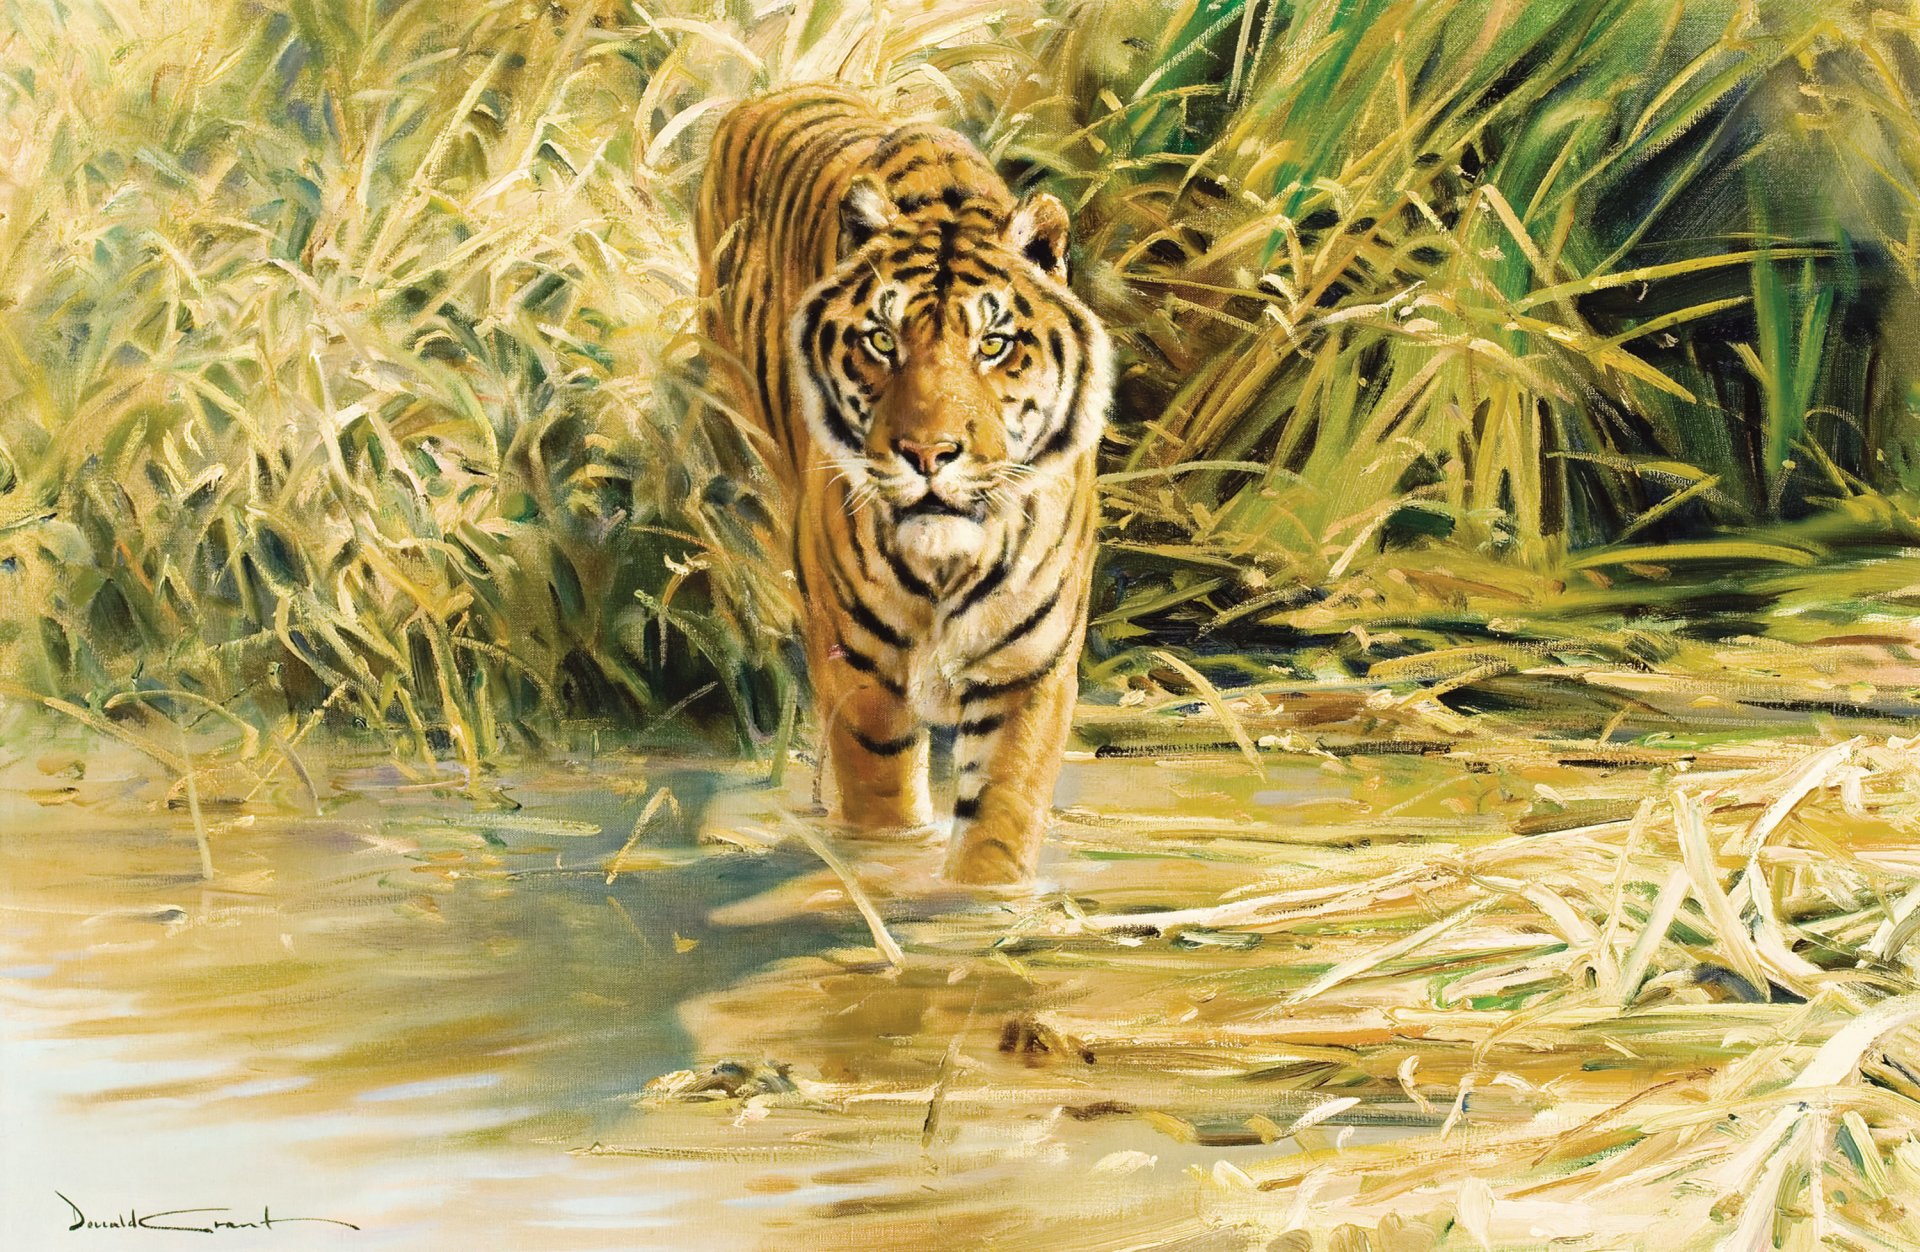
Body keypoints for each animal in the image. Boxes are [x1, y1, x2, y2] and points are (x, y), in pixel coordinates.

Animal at [696, 85, 1113, 886]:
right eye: (882, 340)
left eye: (993, 344)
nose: (928, 453)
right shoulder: (863, 673)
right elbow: (883, 815)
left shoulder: (1027, 671)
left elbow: (1000, 818)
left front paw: (979, 906)